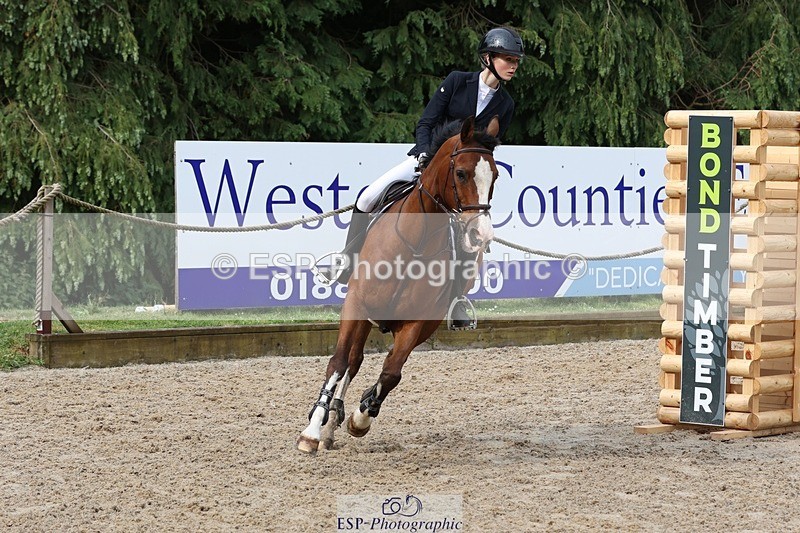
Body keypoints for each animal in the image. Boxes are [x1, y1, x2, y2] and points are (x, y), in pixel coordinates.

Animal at [296, 115, 501, 453]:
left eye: (494, 176)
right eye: (461, 173)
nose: (481, 235)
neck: (414, 244)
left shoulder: (416, 323)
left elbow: (391, 373)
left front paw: (361, 417)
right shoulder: (356, 305)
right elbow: (339, 361)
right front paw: (311, 431)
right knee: (352, 360)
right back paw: (327, 424)